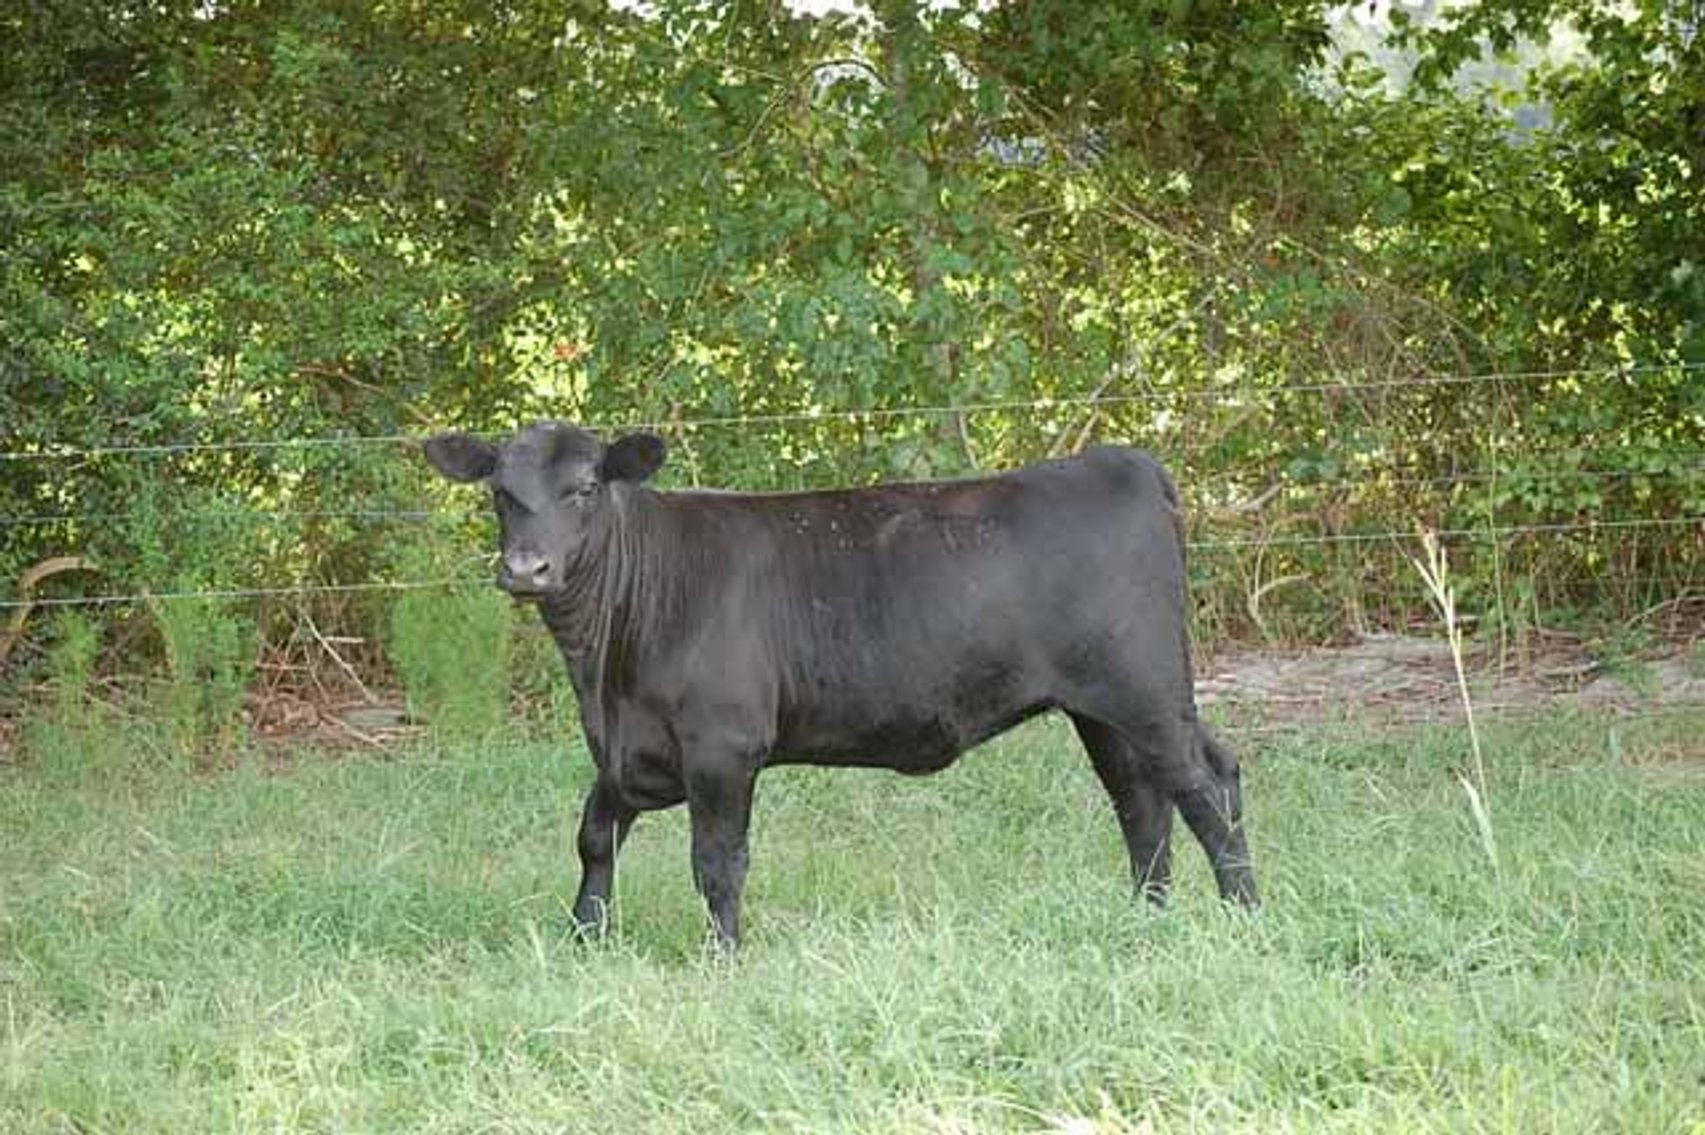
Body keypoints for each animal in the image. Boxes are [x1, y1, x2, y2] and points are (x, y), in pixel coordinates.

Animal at [423, 422, 1257, 951]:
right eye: (499, 490)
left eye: (586, 486)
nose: (526, 567)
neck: (603, 671)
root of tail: (1117, 461)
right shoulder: (626, 751)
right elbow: (593, 837)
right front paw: (582, 941)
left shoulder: (723, 745)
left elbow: (716, 861)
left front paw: (722, 958)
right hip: (1105, 707)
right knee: (1144, 799)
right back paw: (1147, 919)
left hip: (1144, 687)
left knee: (1201, 788)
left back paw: (1244, 918)